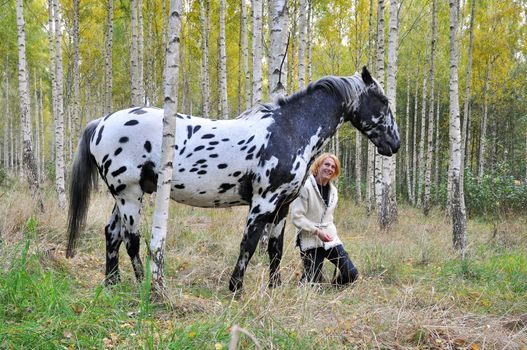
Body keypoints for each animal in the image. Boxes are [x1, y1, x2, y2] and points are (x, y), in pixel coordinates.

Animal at [68, 67, 402, 292]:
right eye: (384, 101)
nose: (395, 144)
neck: (289, 130)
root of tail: (102, 122)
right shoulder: (263, 202)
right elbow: (249, 244)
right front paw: (236, 288)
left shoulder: (282, 206)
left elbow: (275, 248)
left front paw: (274, 286)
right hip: (129, 193)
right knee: (131, 240)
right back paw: (144, 284)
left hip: (125, 195)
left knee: (112, 234)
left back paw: (112, 283)